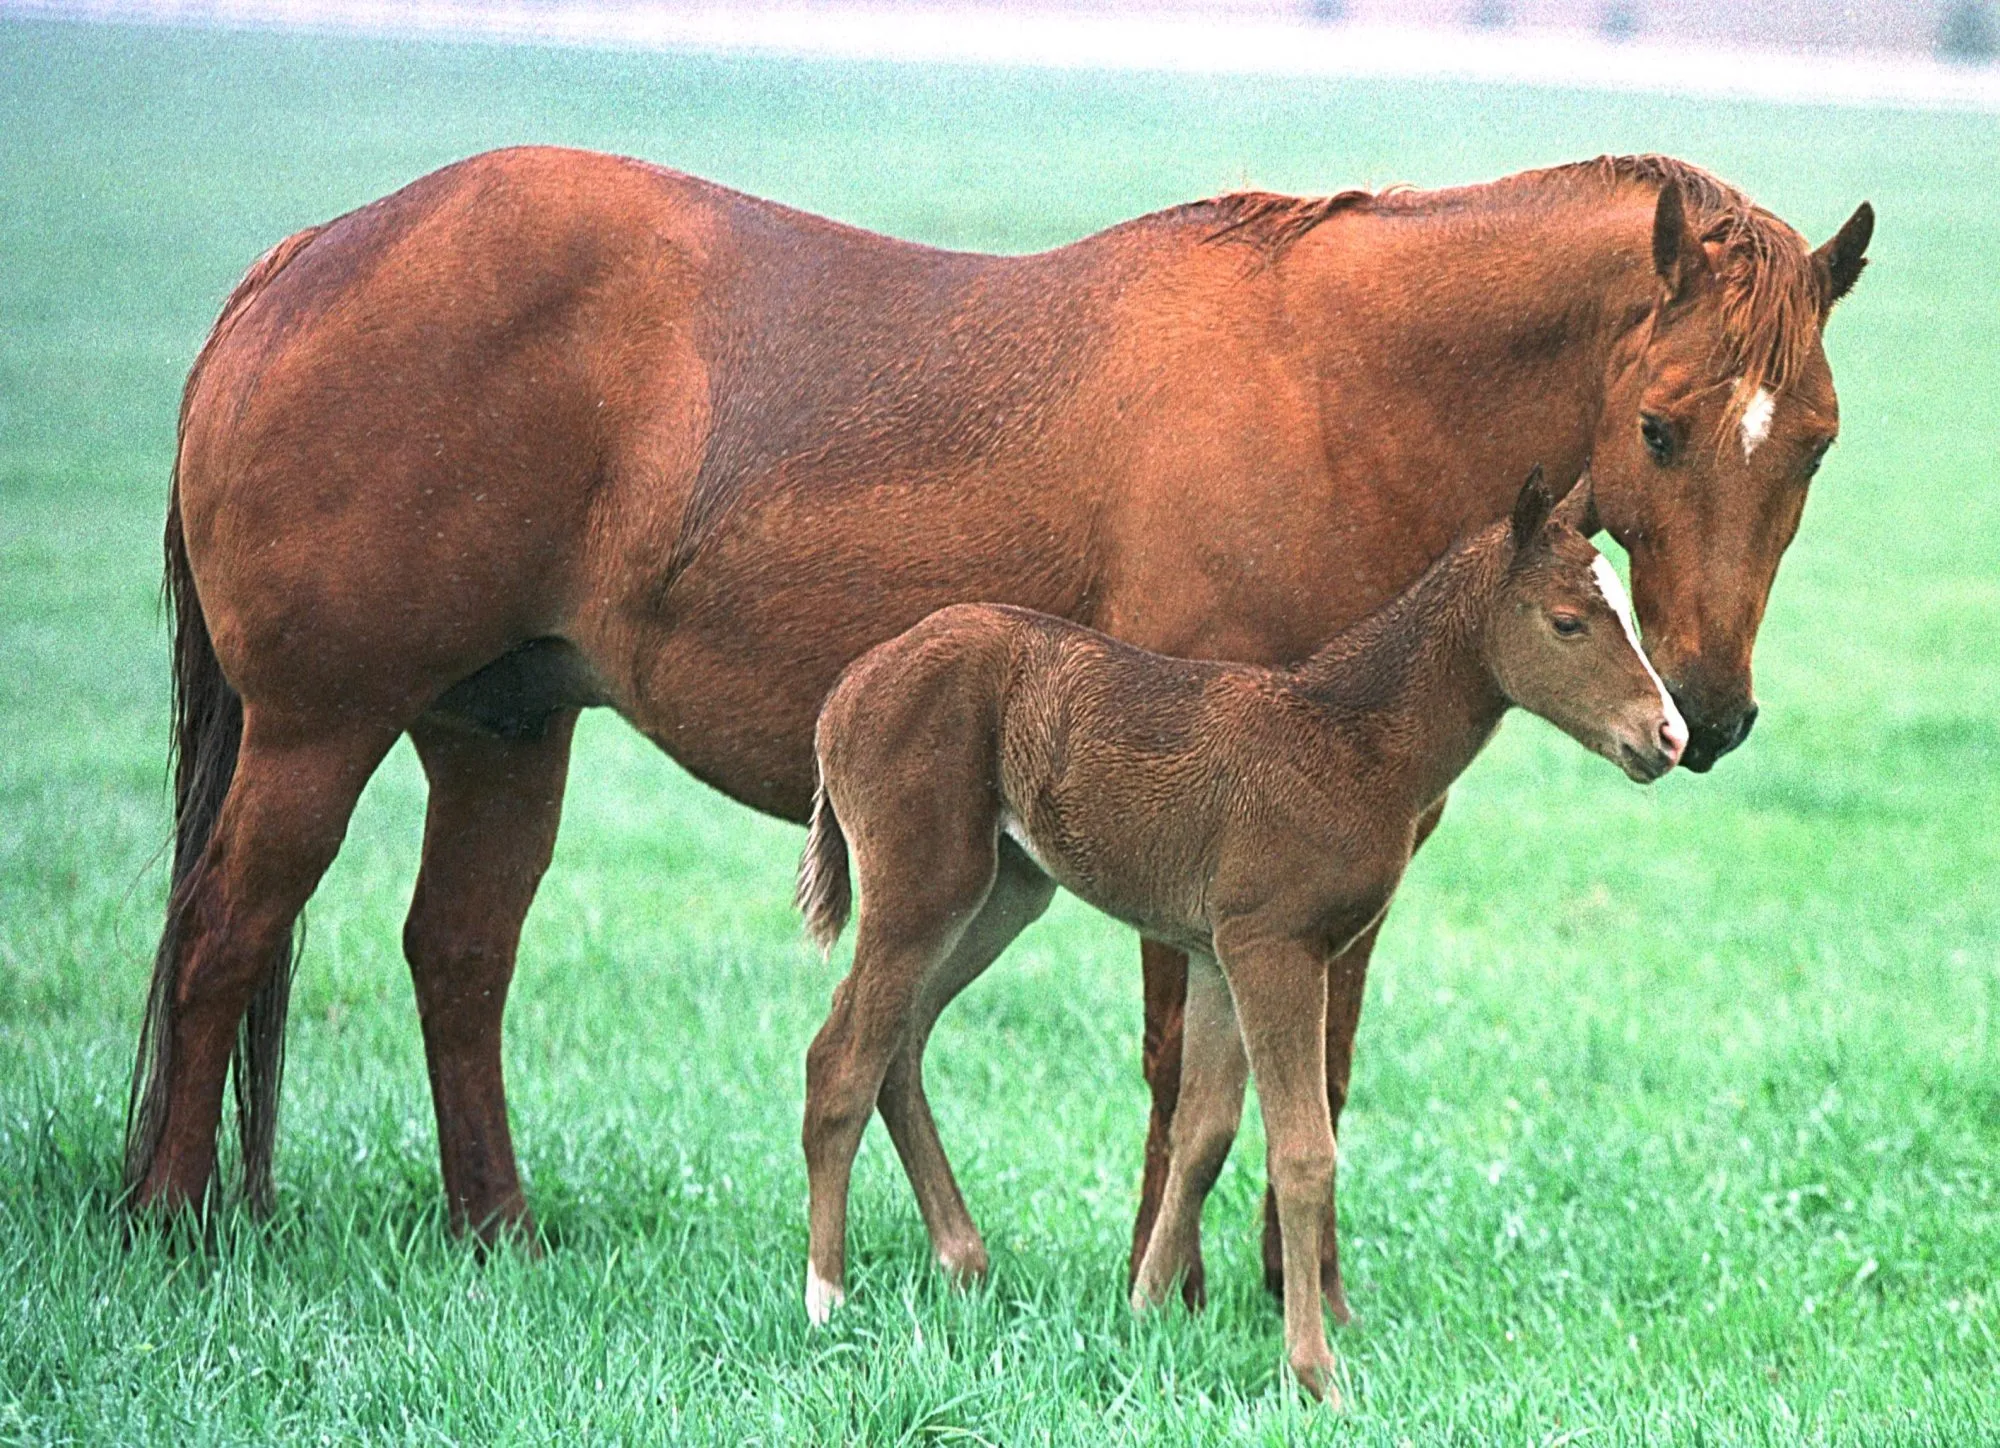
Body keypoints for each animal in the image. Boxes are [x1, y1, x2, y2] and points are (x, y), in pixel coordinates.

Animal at [795, 468, 1683, 1398]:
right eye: (1568, 622)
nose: (1668, 735)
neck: (1352, 738)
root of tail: (846, 690)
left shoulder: (1218, 952)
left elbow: (1203, 1133)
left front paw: (1146, 1310)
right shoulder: (1275, 947)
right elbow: (1301, 1152)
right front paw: (1314, 1372)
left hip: (1005, 892)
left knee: (900, 1044)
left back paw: (963, 1261)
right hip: (923, 886)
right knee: (843, 1058)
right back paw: (827, 1297)